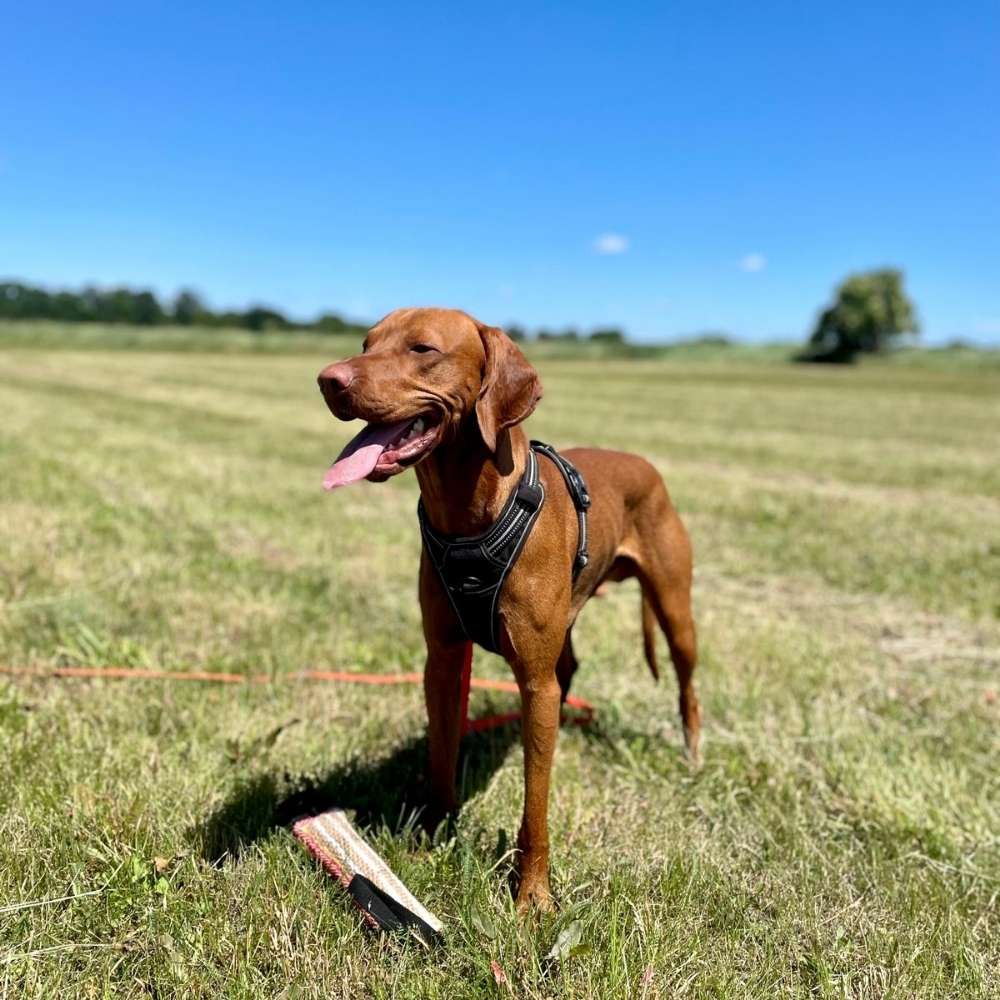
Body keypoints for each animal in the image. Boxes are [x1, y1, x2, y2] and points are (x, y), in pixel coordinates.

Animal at [316, 308, 700, 912]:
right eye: (366, 343)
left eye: (422, 348)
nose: (328, 379)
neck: (469, 520)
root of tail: (645, 465)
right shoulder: (443, 661)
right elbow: (442, 759)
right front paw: (434, 835)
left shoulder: (533, 684)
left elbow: (534, 806)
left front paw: (533, 896)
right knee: (570, 668)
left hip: (673, 607)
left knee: (686, 685)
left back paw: (692, 754)